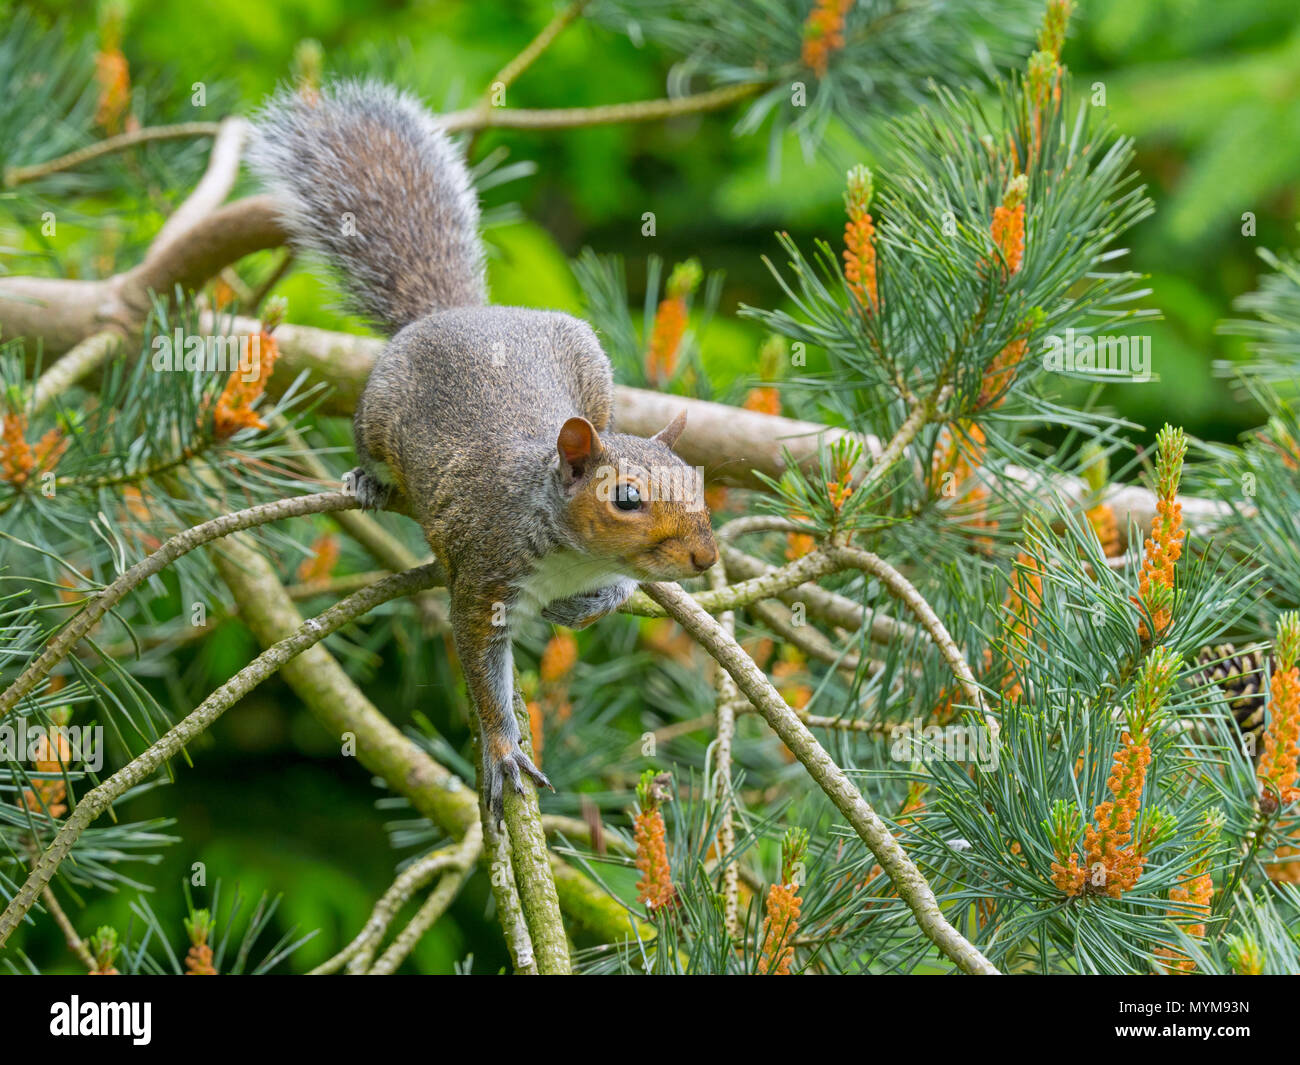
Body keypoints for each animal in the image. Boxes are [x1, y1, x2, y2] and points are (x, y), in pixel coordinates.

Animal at [248, 81, 717, 827]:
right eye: (625, 499)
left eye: (697, 484)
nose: (705, 558)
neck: (567, 548)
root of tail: (458, 313)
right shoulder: (483, 581)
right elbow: (482, 670)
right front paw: (502, 750)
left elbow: (611, 594)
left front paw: (580, 608)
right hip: (376, 414)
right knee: (369, 449)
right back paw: (368, 481)